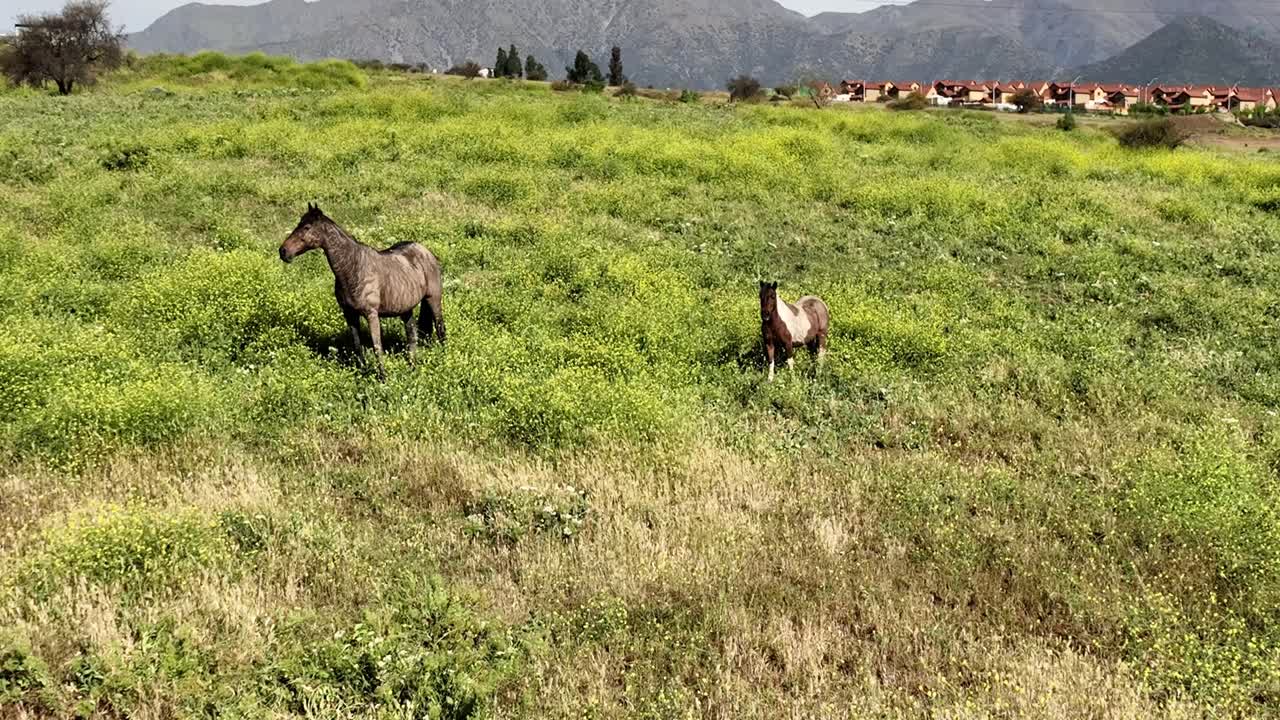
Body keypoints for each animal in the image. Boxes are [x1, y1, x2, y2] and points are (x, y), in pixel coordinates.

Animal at [279, 203, 445, 379]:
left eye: (307, 227)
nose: (283, 251)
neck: (353, 267)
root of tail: (426, 252)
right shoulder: (349, 314)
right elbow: (357, 345)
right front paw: (363, 372)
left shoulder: (371, 314)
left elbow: (377, 347)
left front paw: (383, 378)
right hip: (406, 309)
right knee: (412, 335)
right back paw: (412, 367)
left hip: (433, 299)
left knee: (440, 328)